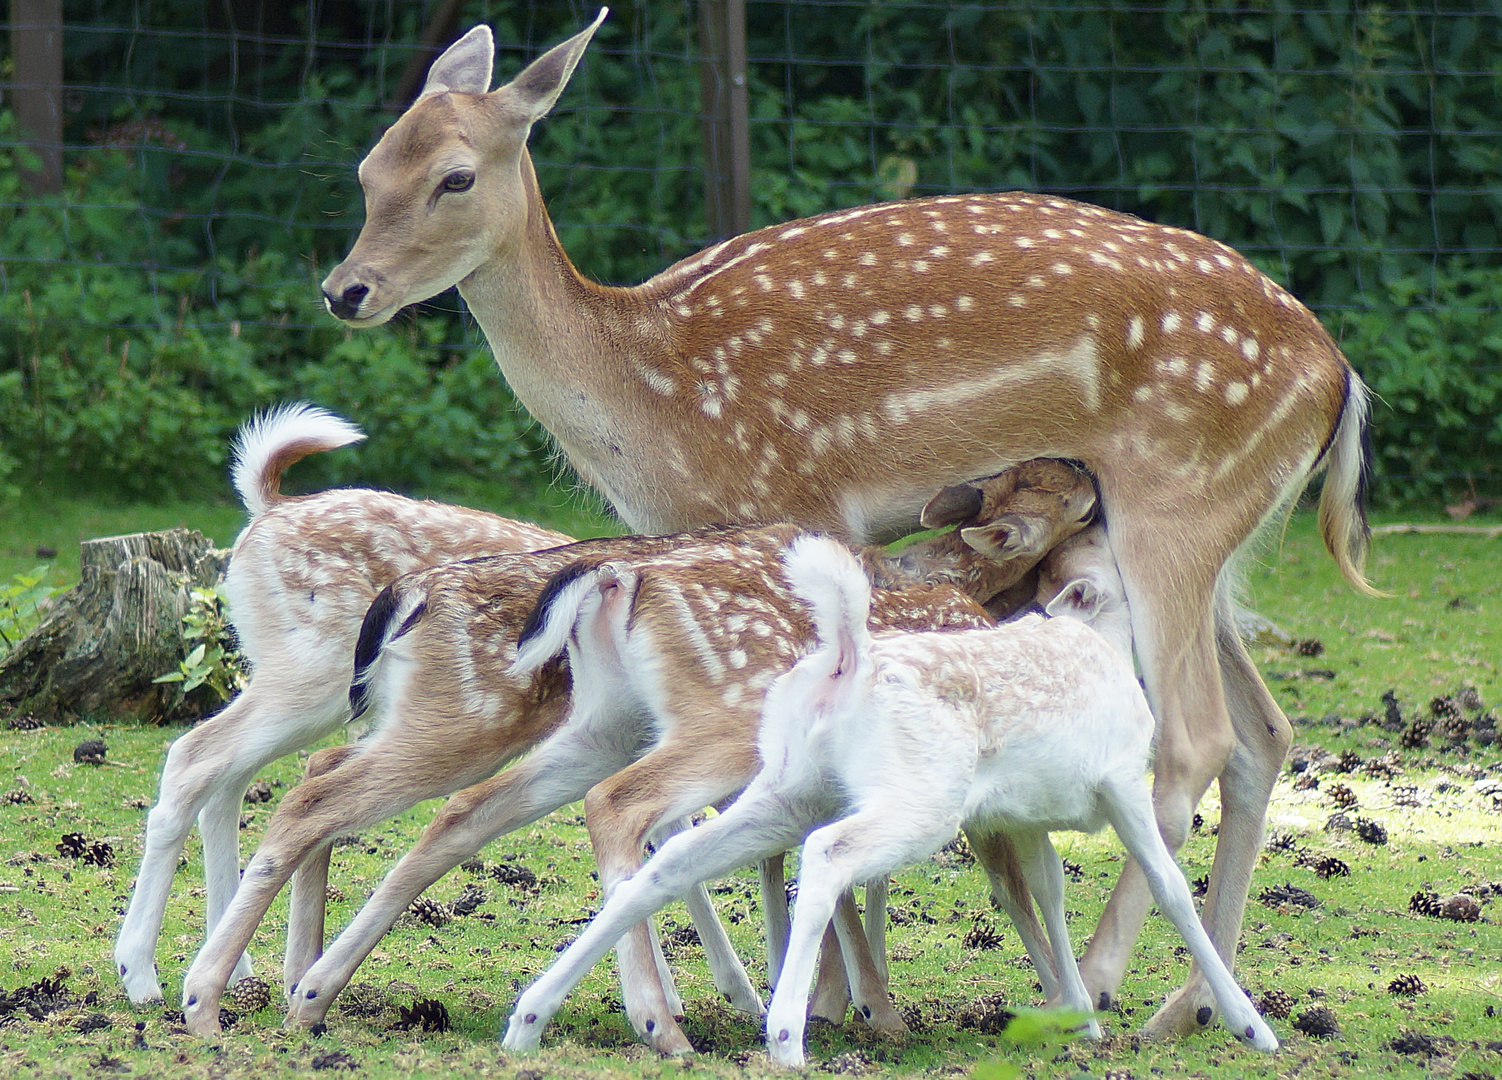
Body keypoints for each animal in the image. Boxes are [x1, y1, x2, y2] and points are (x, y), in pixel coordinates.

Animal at [322, 6, 1375, 1039]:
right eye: (368, 167)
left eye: (455, 176)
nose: (345, 289)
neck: (651, 402)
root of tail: (1339, 379)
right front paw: (834, 995)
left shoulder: (802, 497)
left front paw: (835, 997)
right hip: (1213, 537)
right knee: (1267, 730)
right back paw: (1189, 1005)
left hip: (1176, 505)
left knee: (1197, 735)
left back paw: (1112, 985)